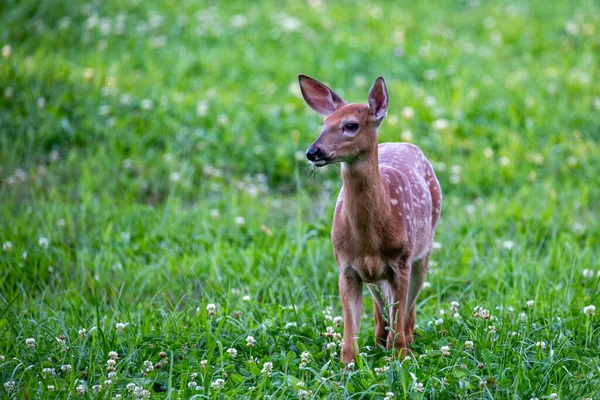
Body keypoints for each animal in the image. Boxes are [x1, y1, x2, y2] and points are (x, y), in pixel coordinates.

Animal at [298, 75, 440, 362]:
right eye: (323, 124)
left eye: (350, 125)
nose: (312, 152)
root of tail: (404, 143)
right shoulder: (346, 267)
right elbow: (349, 332)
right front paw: (349, 363)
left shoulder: (401, 261)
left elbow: (399, 316)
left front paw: (400, 356)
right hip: (376, 275)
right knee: (380, 310)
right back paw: (379, 341)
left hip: (423, 252)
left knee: (408, 312)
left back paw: (405, 342)